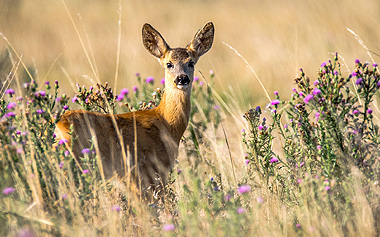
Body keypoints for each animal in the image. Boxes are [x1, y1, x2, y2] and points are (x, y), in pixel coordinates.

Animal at [54, 21, 214, 199]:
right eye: (169, 64)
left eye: (191, 62)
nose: (182, 79)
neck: (166, 123)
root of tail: (59, 126)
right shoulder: (150, 170)